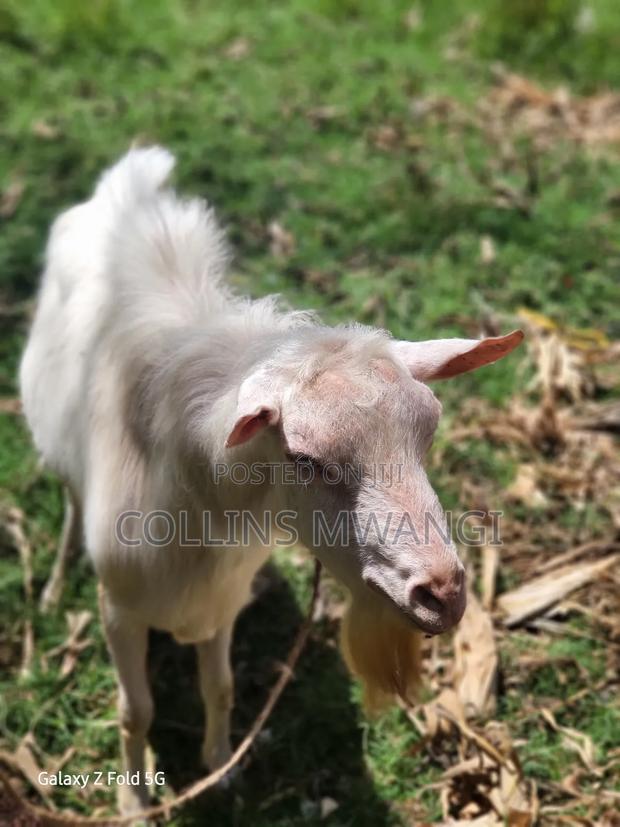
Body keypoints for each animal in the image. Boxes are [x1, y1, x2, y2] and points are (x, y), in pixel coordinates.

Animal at [20, 147, 522, 813]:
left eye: (428, 434)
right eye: (305, 459)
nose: (441, 593)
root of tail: (126, 180)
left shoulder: (221, 600)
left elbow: (222, 688)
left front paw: (219, 769)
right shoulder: (119, 610)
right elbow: (135, 712)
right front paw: (134, 803)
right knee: (71, 498)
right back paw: (53, 586)